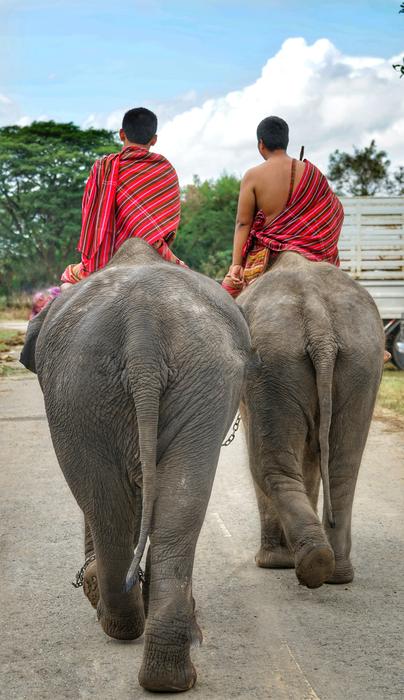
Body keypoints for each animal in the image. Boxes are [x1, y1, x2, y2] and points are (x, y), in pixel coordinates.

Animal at [21, 238, 252, 692]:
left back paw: (126, 630)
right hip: (130, 385)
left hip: (91, 390)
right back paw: (164, 670)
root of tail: (143, 329)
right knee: (166, 506)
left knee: (107, 503)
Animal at [238, 251, 384, 589]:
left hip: (273, 362)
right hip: (361, 358)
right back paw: (334, 572)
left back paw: (298, 563)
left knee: (266, 464)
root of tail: (319, 324)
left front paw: (275, 562)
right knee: (343, 467)